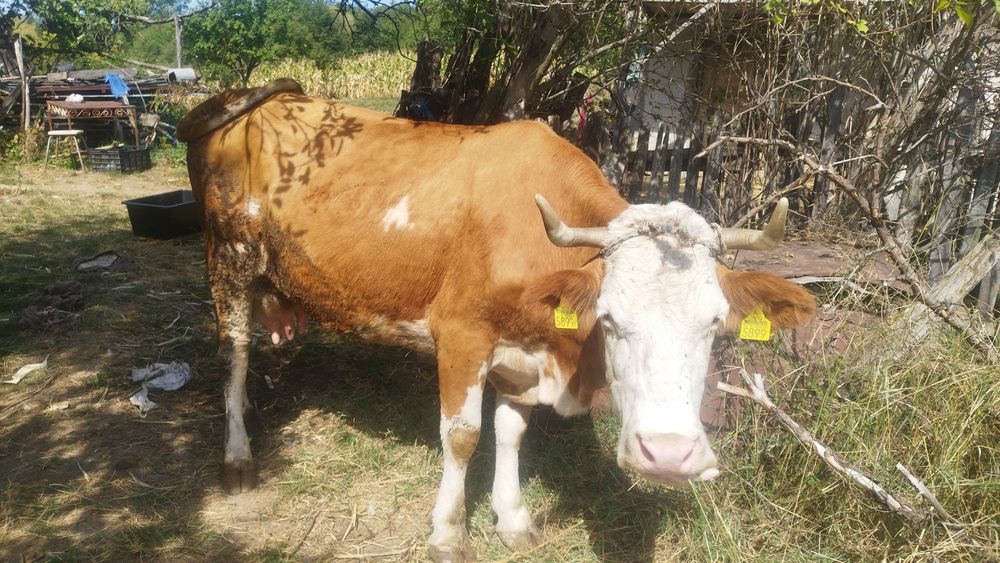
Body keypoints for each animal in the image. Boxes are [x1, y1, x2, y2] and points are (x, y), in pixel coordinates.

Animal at [177, 78, 815, 561]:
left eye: (715, 323)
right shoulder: (461, 333)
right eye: (609, 320)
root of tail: (250, 100)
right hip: (227, 259)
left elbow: (511, 432)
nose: (670, 456)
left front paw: (512, 518)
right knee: (233, 352)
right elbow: (463, 435)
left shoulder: (522, 349)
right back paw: (238, 454)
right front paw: (448, 533)